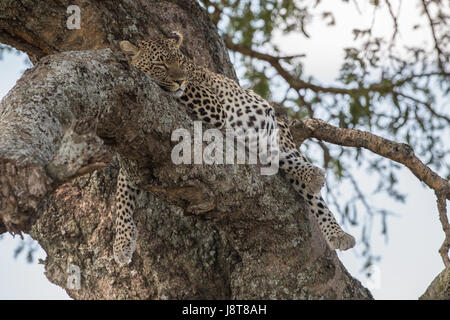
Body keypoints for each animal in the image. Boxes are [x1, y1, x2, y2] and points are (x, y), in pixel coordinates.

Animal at [113, 30, 356, 264]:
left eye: (180, 62)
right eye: (160, 64)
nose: (180, 80)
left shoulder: (212, 104)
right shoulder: (134, 150)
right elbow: (122, 196)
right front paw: (122, 242)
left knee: (303, 181)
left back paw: (333, 224)